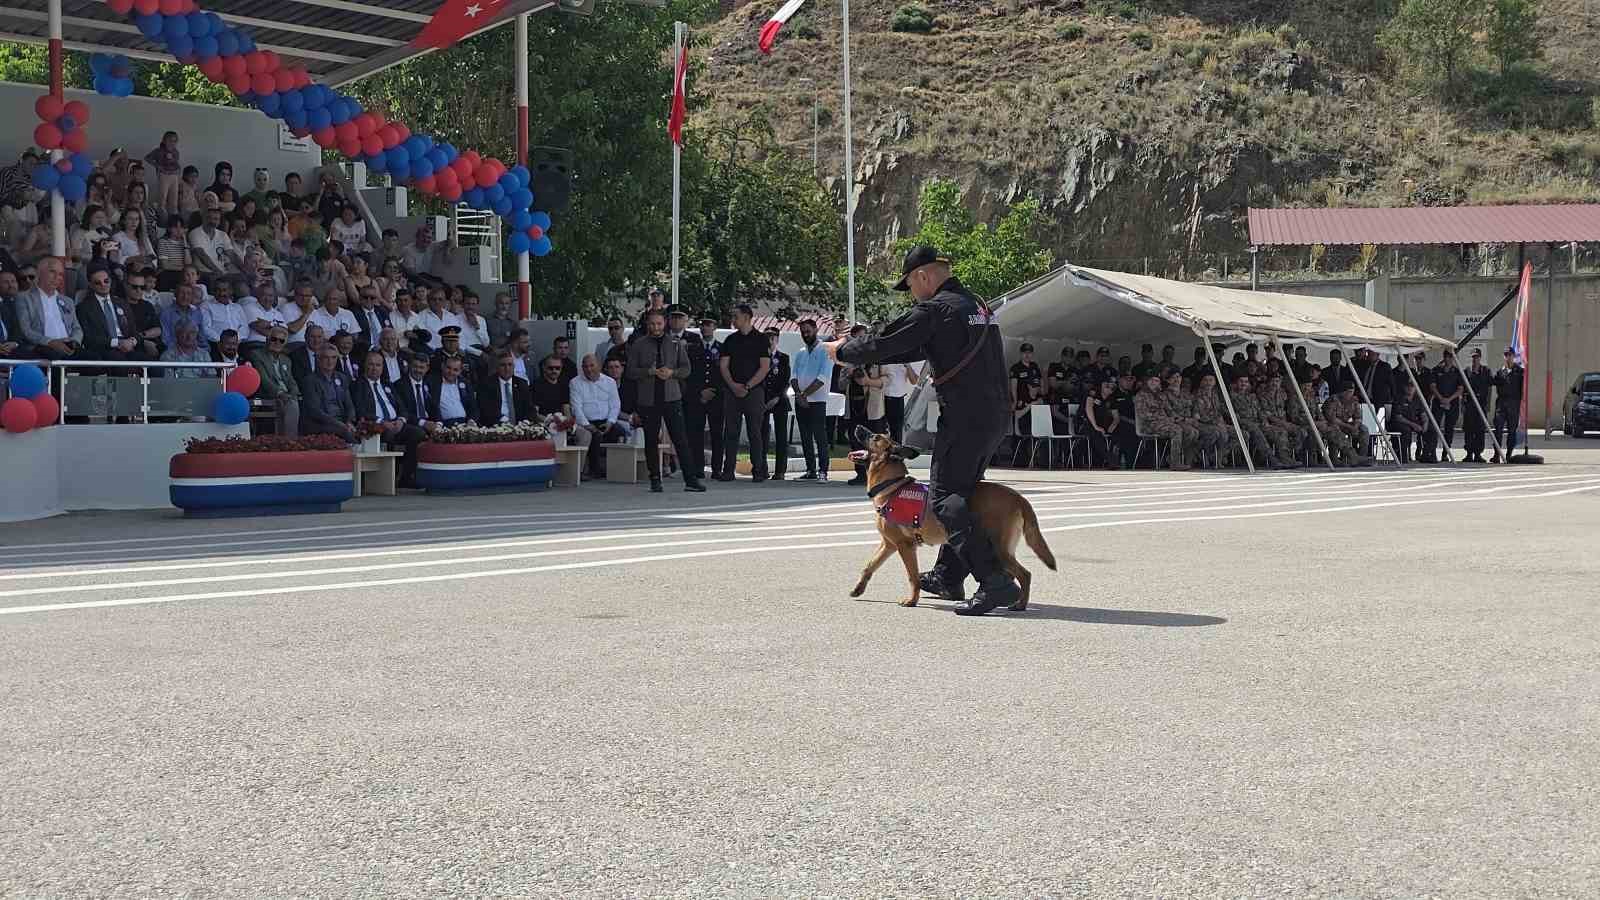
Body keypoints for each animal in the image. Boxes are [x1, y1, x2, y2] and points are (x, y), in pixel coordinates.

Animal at [844, 425, 1056, 608]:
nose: (857, 426)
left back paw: (1016, 604)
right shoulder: (889, 544)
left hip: (998, 548)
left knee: (1025, 574)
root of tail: (1018, 497)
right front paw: (858, 589)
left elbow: (912, 576)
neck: (891, 486)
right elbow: (869, 566)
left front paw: (912, 600)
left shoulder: (906, 546)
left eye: (875, 437)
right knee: (1017, 574)